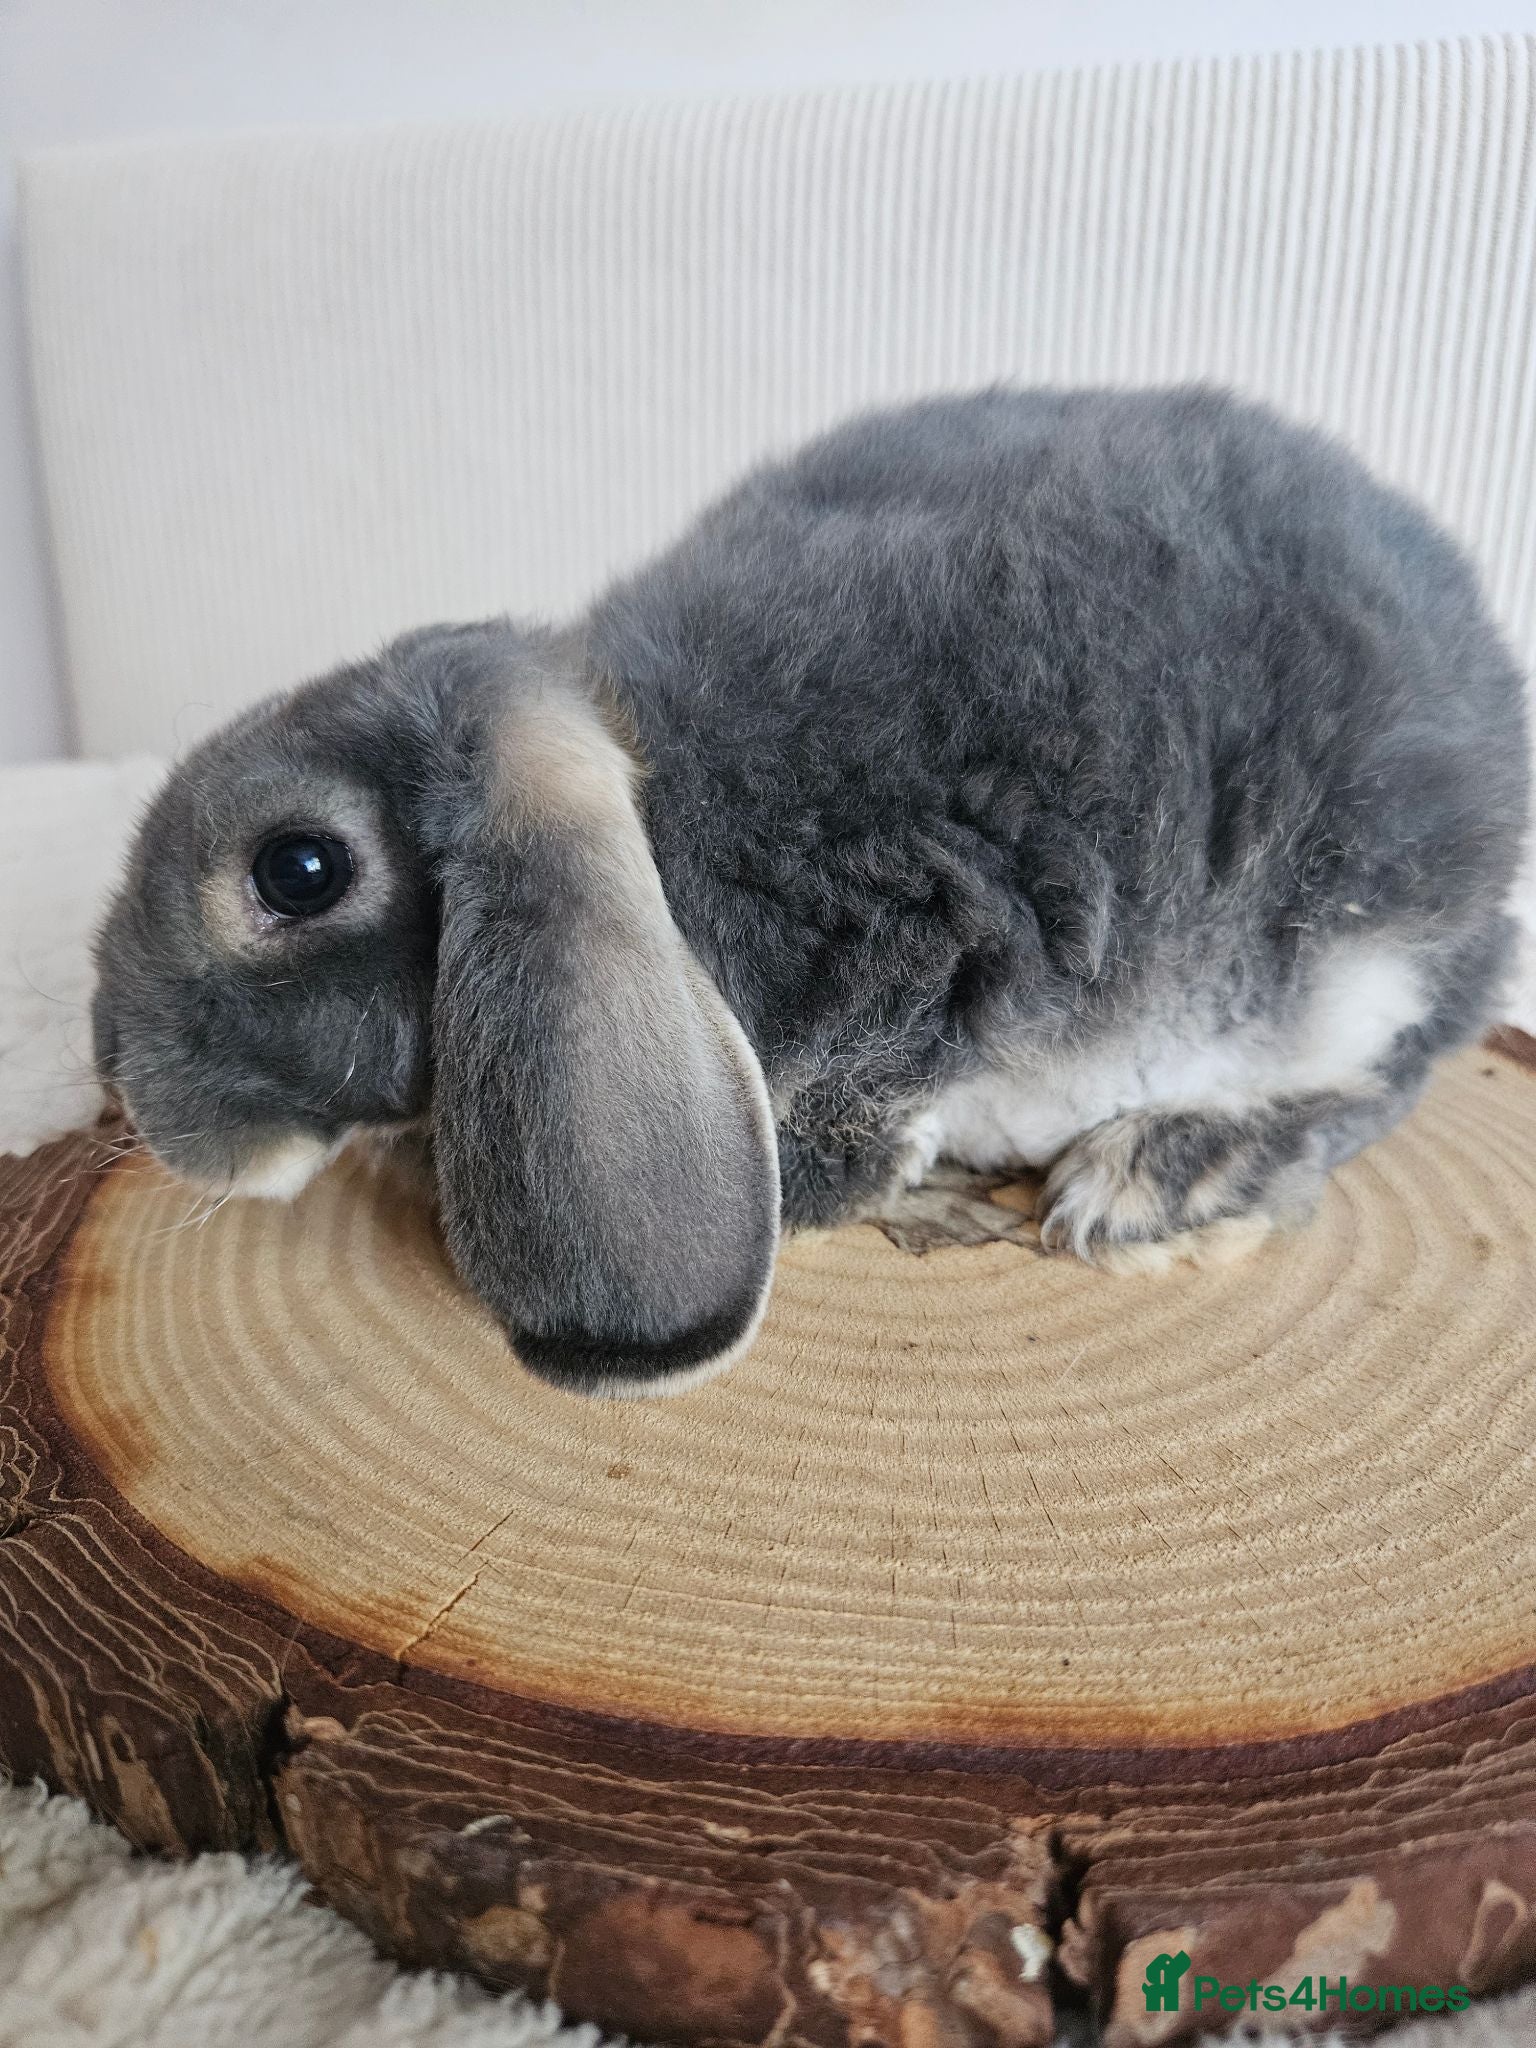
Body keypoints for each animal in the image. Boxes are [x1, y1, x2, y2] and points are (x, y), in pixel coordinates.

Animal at [93, 386, 1531, 1396]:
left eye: (298, 869)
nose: (126, 1088)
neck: (664, 813)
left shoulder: (924, 936)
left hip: (1361, 945)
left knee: (1380, 1075)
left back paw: (1164, 1178)